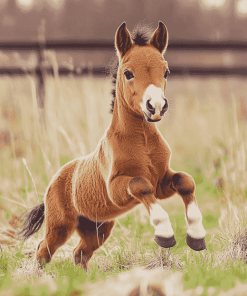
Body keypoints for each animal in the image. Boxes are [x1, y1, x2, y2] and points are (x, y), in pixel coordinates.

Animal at [18, 21, 206, 270]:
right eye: (128, 73)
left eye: (165, 71)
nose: (156, 106)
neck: (142, 143)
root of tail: (54, 181)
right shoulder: (117, 189)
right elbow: (140, 184)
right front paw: (165, 234)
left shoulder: (161, 182)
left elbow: (186, 181)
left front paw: (196, 236)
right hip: (61, 225)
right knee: (44, 249)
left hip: (98, 228)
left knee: (80, 253)